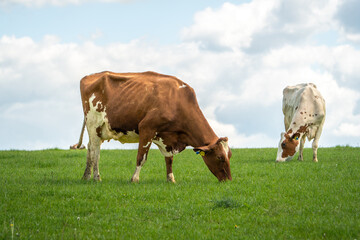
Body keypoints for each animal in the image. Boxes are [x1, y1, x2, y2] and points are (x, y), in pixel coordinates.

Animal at [74, 71, 232, 182]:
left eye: (229, 155)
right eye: (220, 157)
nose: (228, 180)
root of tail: (93, 75)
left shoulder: (167, 138)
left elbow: (169, 159)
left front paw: (170, 179)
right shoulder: (146, 128)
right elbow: (141, 157)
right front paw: (134, 179)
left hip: (100, 130)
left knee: (90, 149)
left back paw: (86, 176)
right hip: (94, 124)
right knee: (95, 152)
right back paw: (96, 177)